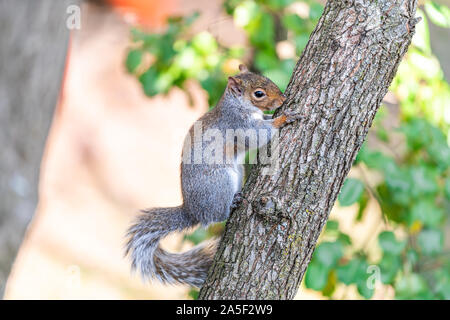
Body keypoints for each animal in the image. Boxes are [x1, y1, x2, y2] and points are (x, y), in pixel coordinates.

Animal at [125, 64, 302, 288]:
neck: (237, 105)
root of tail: (191, 211)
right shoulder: (237, 125)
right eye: (259, 94)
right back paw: (232, 204)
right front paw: (283, 118)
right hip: (220, 183)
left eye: (267, 78)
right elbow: (258, 135)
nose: (283, 98)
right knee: (216, 216)